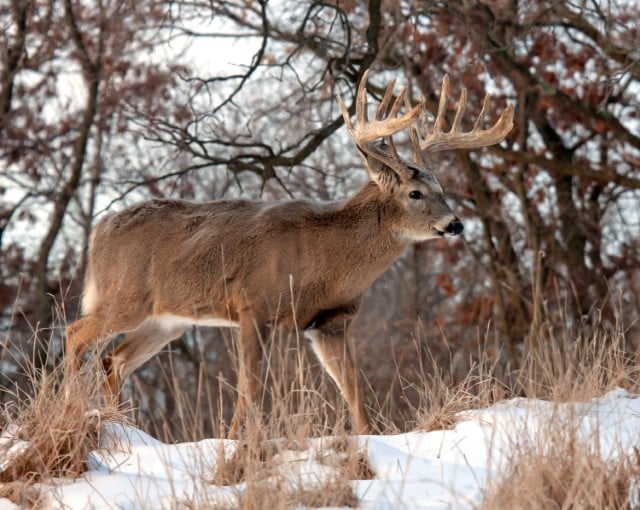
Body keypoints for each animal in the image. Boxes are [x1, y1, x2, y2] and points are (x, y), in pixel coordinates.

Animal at [66, 69, 516, 438]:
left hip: (167, 320)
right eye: (415, 193)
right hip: (125, 298)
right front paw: (236, 442)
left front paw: (369, 438)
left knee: (113, 360)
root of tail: (99, 230)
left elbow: (353, 388)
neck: (327, 264)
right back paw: (74, 407)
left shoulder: (330, 321)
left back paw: (119, 424)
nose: (455, 224)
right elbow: (249, 385)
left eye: (443, 189)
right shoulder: (253, 305)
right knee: (76, 335)